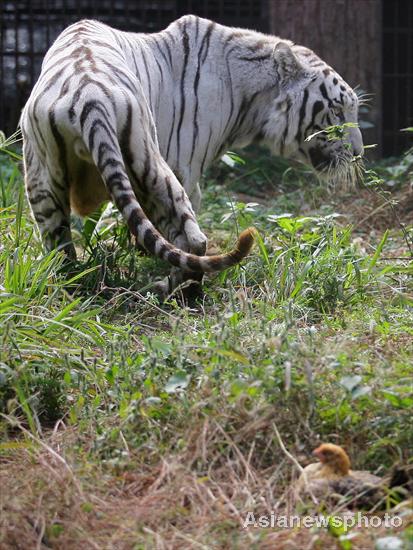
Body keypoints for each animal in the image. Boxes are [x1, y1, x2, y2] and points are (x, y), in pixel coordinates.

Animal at [20, 15, 360, 300]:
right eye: (337, 110)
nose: (358, 152)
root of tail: (89, 97)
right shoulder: (188, 169)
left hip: (43, 182)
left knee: (59, 247)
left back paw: (70, 286)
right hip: (155, 163)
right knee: (194, 242)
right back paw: (179, 289)